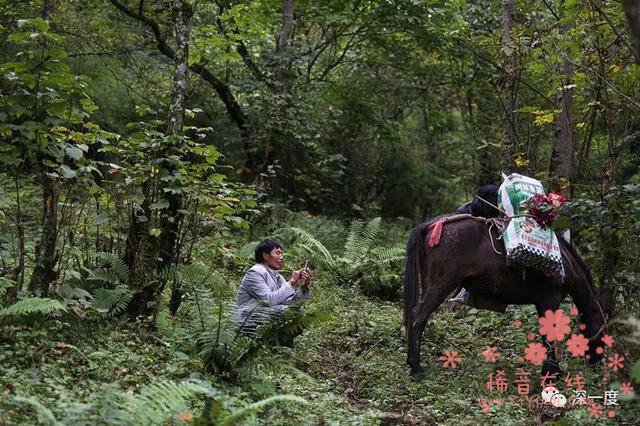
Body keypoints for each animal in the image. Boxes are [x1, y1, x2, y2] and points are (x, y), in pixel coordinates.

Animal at [404, 216, 608, 376]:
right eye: (604, 333)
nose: (597, 364)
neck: (565, 262)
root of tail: (431, 225)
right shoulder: (551, 298)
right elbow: (550, 336)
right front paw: (552, 373)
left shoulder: (541, 302)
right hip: (440, 285)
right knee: (419, 317)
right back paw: (416, 368)